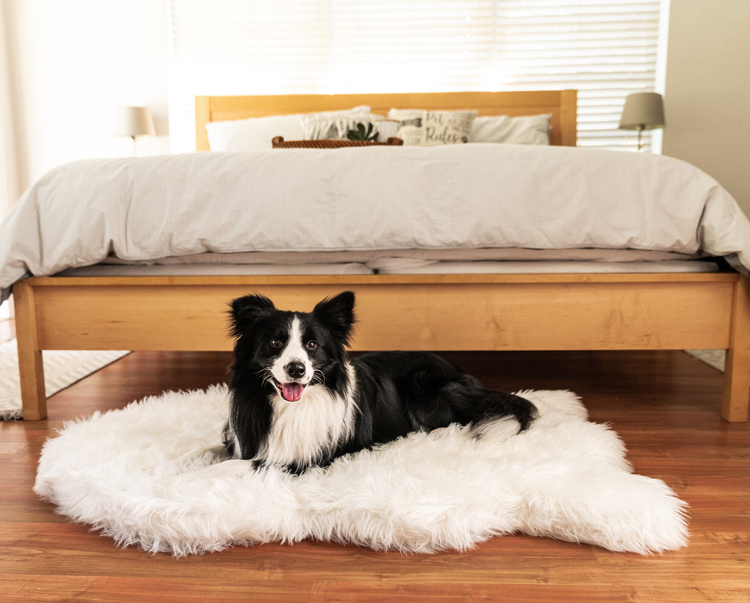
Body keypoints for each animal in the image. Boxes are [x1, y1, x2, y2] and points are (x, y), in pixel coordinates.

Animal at [226, 290, 536, 474]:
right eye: (275, 342)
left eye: (312, 345)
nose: (297, 369)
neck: (293, 407)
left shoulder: (306, 459)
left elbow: (234, 467)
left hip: (423, 384)